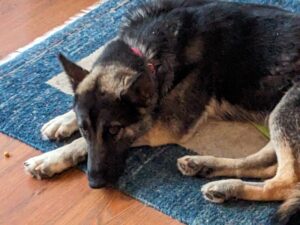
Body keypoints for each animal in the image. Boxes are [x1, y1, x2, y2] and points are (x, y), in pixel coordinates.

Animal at [24, 0, 300, 223]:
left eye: (114, 130)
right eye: (83, 127)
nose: (94, 183)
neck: (144, 52)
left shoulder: (166, 126)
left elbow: (103, 139)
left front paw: (51, 158)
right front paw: (62, 122)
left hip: (284, 111)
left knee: (285, 182)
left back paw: (230, 185)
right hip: (278, 115)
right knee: (267, 165)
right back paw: (207, 170)